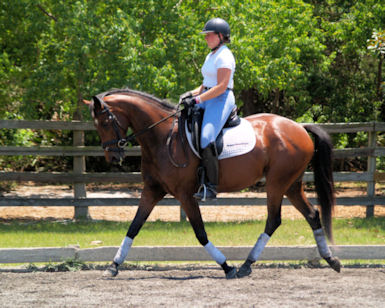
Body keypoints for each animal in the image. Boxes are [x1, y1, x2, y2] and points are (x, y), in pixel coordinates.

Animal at [84, 88, 340, 278]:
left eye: (105, 122)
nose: (112, 157)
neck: (162, 137)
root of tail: (299, 127)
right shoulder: (152, 190)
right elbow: (134, 226)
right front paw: (113, 266)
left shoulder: (185, 194)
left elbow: (200, 232)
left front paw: (227, 266)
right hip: (291, 185)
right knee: (312, 215)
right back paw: (331, 259)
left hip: (277, 183)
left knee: (274, 220)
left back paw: (246, 265)